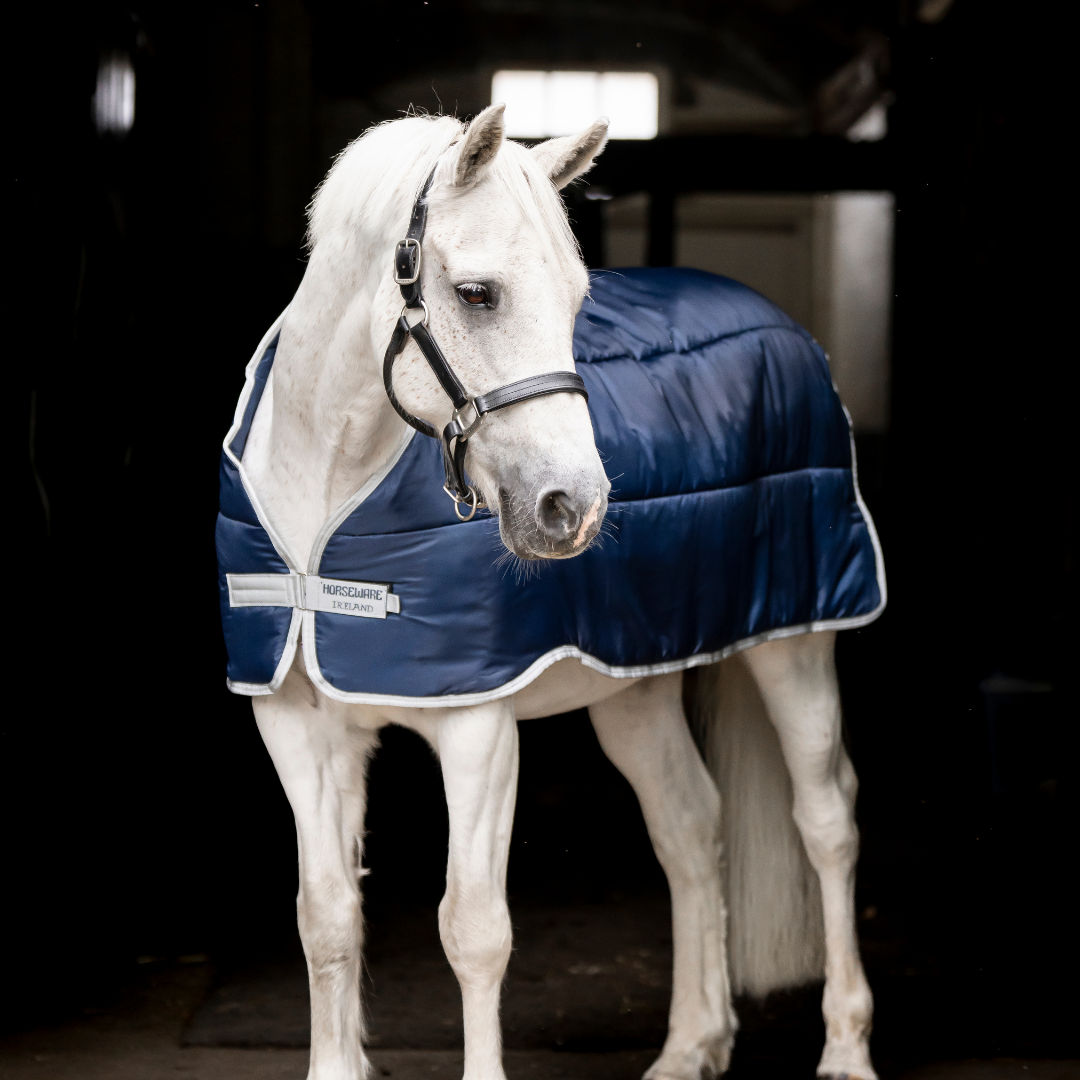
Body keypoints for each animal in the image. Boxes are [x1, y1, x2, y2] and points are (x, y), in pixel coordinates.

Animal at [216, 104, 883, 1080]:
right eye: (478, 294)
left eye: (576, 300)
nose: (574, 506)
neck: (327, 498)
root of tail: (776, 323)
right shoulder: (295, 723)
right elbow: (327, 918)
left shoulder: (477, 730)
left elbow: (473, 930)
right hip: (634, 688)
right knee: (690, 827)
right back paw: (691, 1046)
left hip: (797, 642)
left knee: (828, 819)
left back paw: (844, 1048)